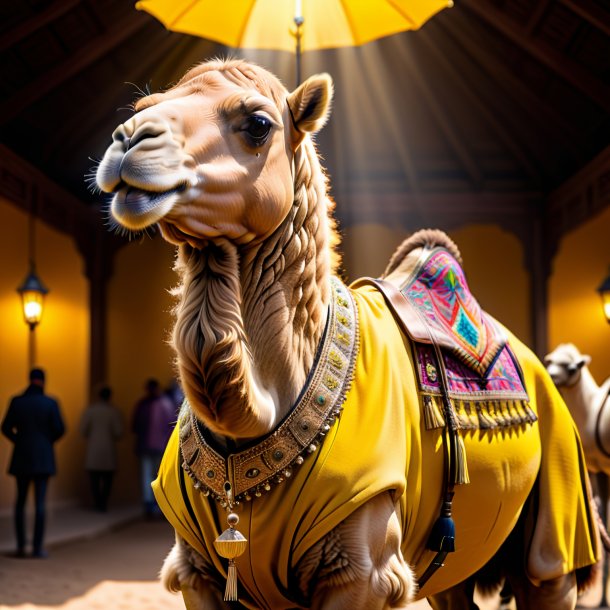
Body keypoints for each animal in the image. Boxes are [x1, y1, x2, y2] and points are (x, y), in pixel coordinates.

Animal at [97, 58, 596, 608]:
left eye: (257, 124)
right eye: (143, 106)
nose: (129, 139)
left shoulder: (361, 569)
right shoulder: (198, 569)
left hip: (556, 524)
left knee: (546, 574)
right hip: (459, 558)